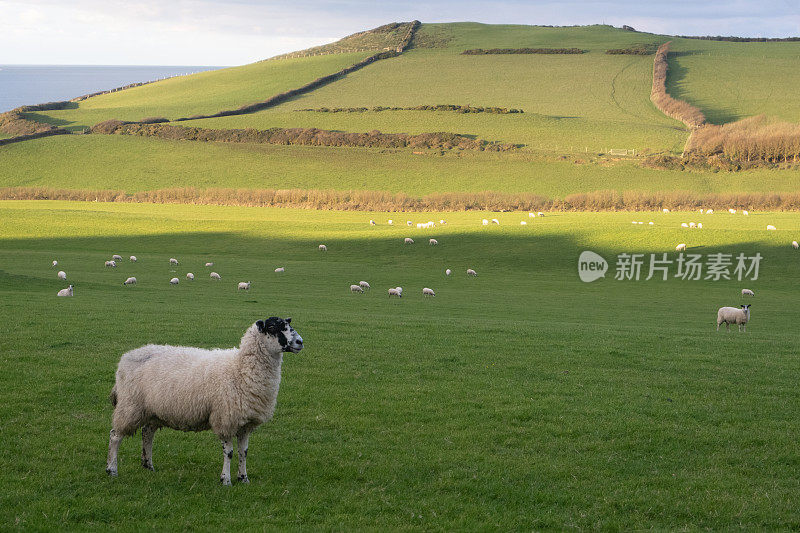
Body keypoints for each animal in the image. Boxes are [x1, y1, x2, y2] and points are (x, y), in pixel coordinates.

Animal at [106, 318, 304, 484]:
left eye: (288, 324)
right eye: (272, 327)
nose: (300, 342)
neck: (240, 368)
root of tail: (125, 358)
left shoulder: (245, 423)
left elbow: (244, 452)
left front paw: (244, 479)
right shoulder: (225, 419)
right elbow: (229, 453)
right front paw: (226, 480)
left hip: (153, 410)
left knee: (147, 433)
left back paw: (148, 466)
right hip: (130, 405)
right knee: (115, 435)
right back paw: (112, 470)